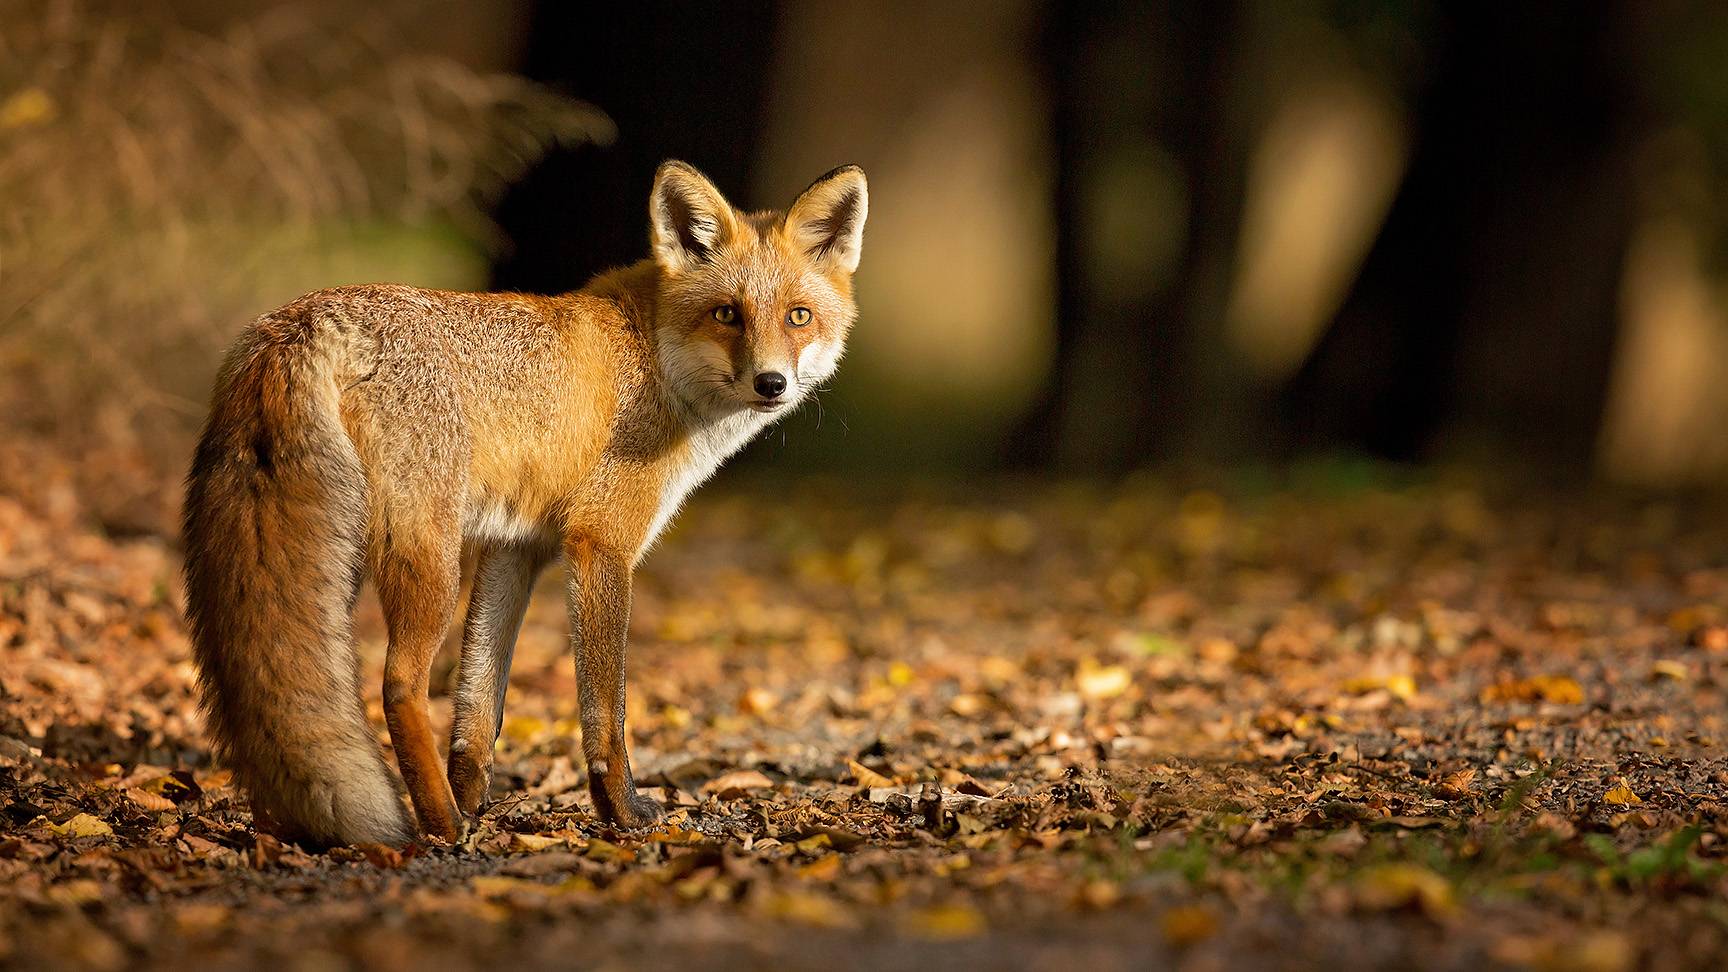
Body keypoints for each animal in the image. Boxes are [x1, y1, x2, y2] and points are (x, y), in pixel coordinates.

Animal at [182, 160, 867, 847]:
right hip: (426, 561)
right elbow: (605, 710)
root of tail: (300, 321)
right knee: (398, 686)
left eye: (799, 316)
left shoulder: (515, 546)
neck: (652, 358)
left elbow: (479, 704)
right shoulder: (599, 543)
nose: (772, 383)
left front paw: (474, 796)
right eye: (727, 313)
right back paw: (440, 825)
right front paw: (620, 811)